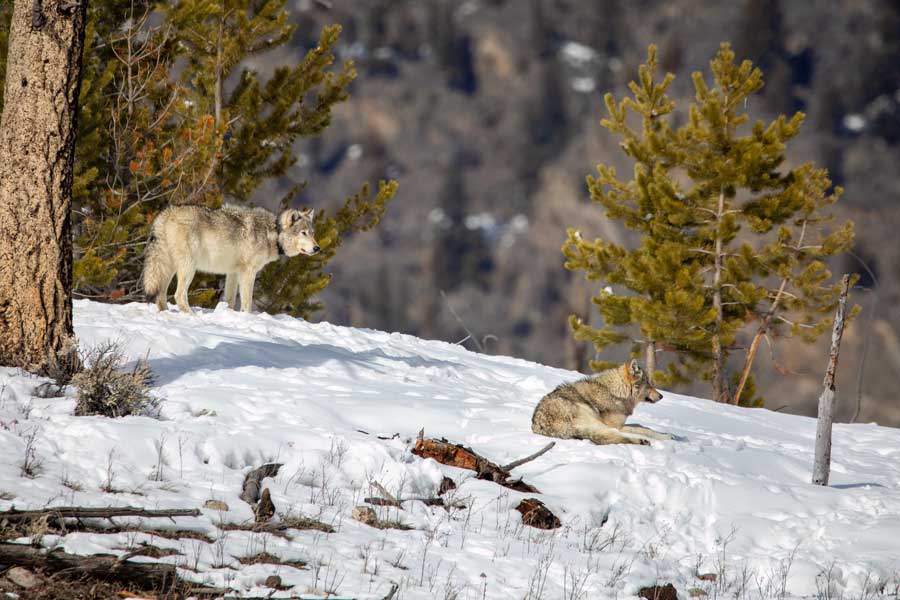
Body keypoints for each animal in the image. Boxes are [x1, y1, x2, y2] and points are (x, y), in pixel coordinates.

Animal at [141, 204, 320, 312]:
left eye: (312, 233)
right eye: (303, 233)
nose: (317, 248)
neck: (273, 233)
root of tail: (165, 214)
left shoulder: (232, 273)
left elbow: (230, 301)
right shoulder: (248, 273)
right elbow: (247, 303)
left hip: (168, 268)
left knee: (161, 295)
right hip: (188, 268)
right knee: (179, 295)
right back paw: (192, 316)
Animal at [532, 358, 672, 442]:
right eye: (648, 384)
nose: (661, 396)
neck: (616, 392)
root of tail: (540, 426)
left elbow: (642, 426)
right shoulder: (616, 425)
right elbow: (642, 429)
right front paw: (665, 436)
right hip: (595, 419)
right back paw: (641, 441)